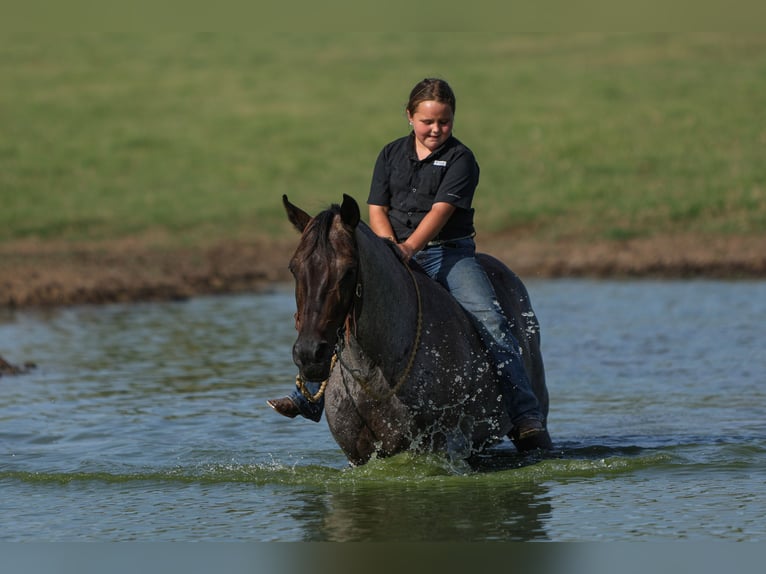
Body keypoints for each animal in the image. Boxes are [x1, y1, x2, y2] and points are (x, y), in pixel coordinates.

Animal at [284, 195, 548, 468]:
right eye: (294, 268)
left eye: (348, 271)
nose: (309, 354)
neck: (374, 371)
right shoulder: (357, 456)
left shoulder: (434, 446)